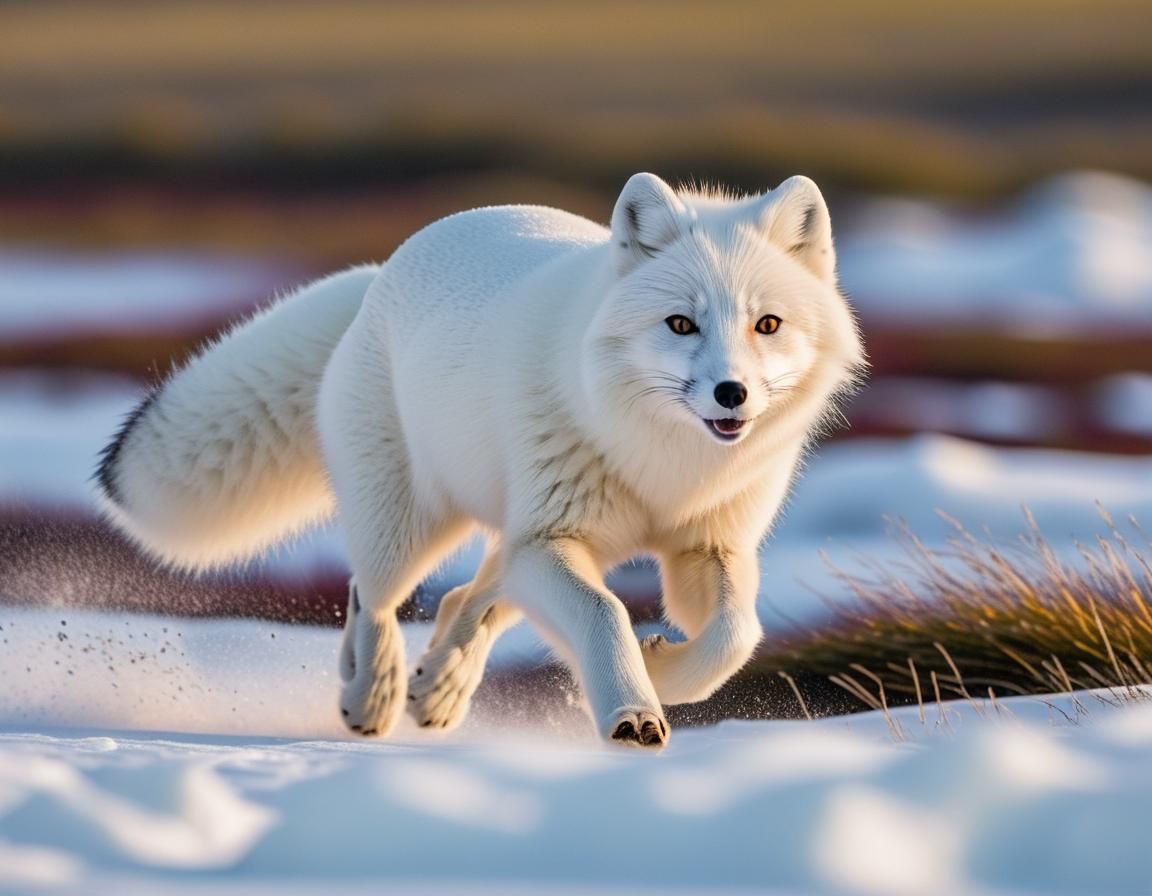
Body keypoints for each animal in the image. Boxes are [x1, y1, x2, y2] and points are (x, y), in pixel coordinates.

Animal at [96, 173, 865, 748]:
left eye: (767, 324)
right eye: (681, 324)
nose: (732, 393)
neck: (665, 467)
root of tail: (380, 273)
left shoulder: (710, 546)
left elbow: (737, 635)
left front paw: (664, 672)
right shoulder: (554, 539)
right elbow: (605, 613)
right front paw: (635, 710)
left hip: (517, 540)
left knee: (468, 599)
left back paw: (438, 687)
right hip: (418, 527)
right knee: (373, 596)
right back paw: (370, 695)